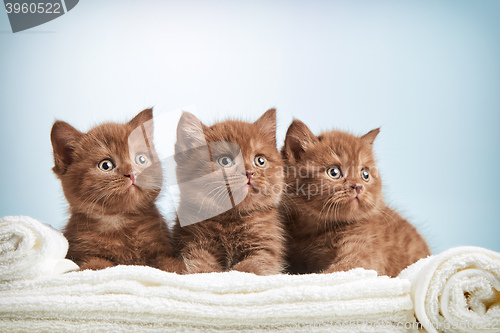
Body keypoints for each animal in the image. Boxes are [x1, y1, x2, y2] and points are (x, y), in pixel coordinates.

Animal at [51, 107, 184, 272]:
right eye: (105, 165)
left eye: (141, 159)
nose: (132, 173)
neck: (121, 221)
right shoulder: (78, 252)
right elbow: (96, 263)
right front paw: (95, 266)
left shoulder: (162, 248)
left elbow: (169, 263)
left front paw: (179, 267)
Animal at [173, 109, 286, 274]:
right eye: (225, 161)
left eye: (260, 161)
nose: (249, 173)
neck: (231, 218)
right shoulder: (194, 243)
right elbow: (199, 265)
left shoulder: (265, 250)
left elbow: (248, 268)